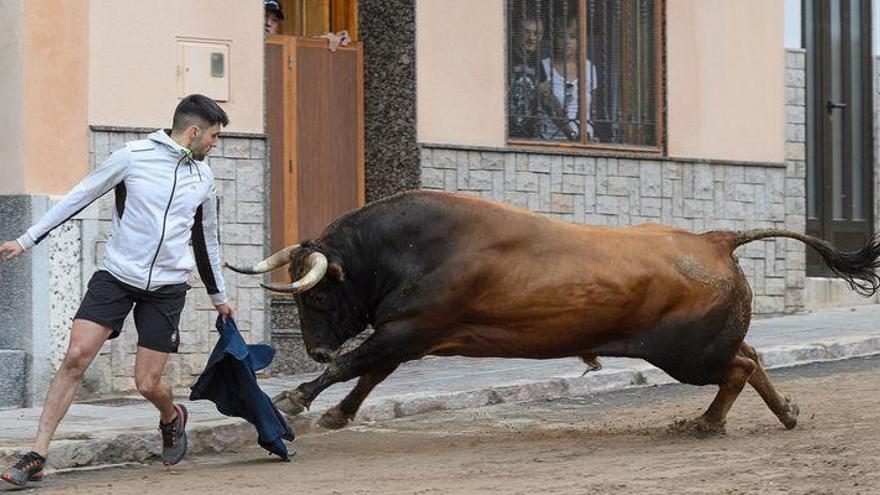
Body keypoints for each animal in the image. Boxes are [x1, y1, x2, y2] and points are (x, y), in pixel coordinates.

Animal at [229, 190, 880, 434]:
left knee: (740, 368)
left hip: (689, 356)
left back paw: (706, 424)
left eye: (315, 294)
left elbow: (354, 366)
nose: (312, 347)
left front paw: (295, 399)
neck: (410, 247)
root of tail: (715, 240)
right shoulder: (408, 336)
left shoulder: (405, 331)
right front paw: (337, 415)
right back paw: (787, 413)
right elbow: (368, 375)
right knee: (753, 357)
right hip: (704, 346)